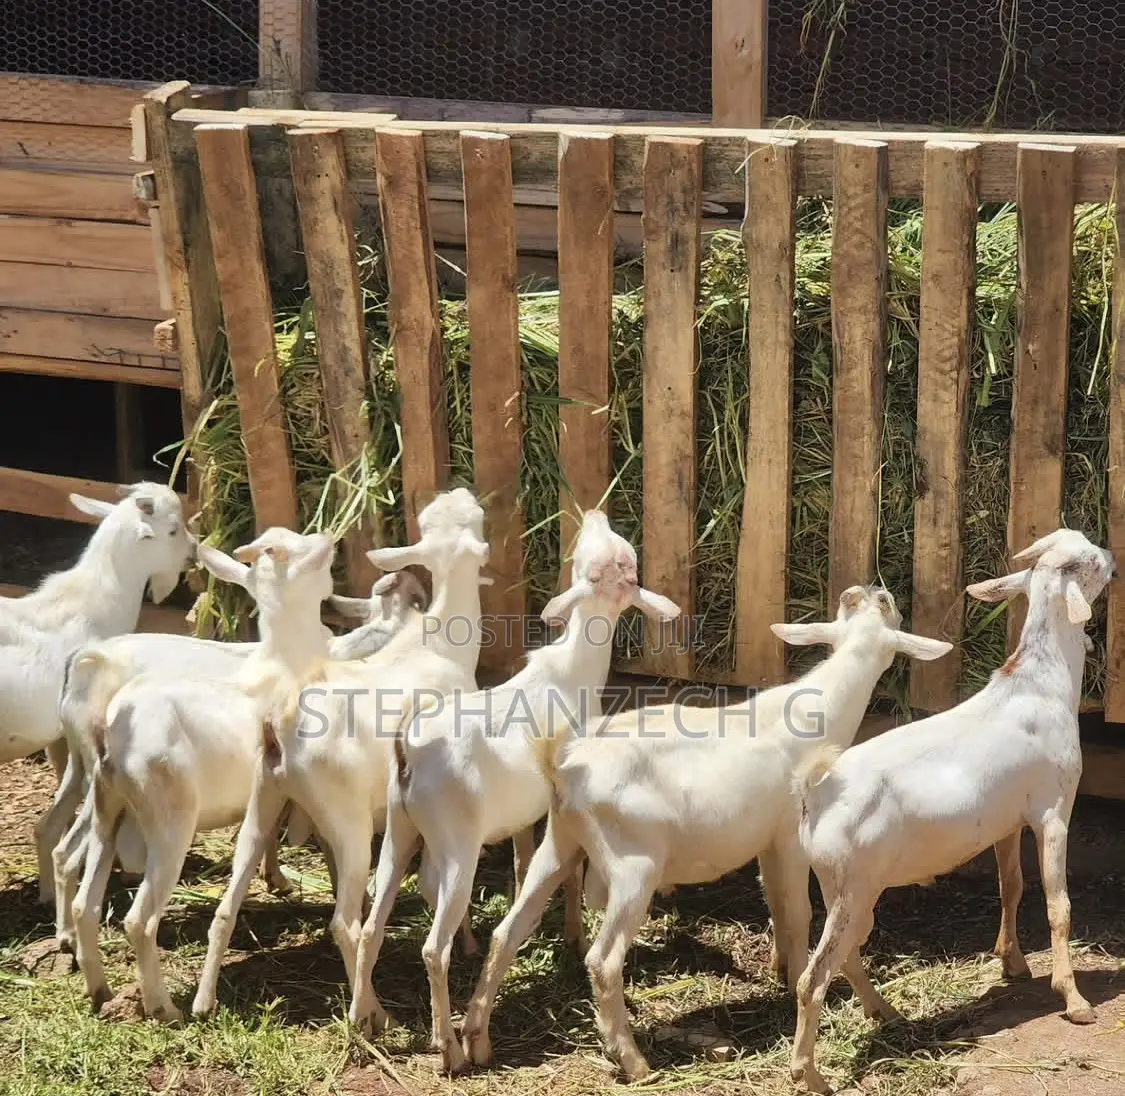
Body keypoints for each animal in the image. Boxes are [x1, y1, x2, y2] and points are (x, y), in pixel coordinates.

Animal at [346, 508, 683, 1072]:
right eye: (614, 557)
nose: (596, 512)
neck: (571, 674)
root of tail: (411, 750)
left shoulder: (531, 815)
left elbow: (529, 866)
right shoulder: (562, 804)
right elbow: (570, 875)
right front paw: (573, 934)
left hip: (399, 828)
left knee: (372, 925)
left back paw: (360, 1021)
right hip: (458, 845)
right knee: (432, 948)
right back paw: (448, 1048)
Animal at [455, 585, 952, 1080]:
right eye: (887, 606)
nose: (868, 589)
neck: (822, 710)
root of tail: (564, 766)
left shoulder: (765, 840)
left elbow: (775, 903)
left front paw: (780, 969)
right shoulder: (791, 835)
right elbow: (798, 912)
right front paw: (795, 977)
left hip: (560, 840)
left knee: (507, 933)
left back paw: (475, 1040)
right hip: (633, 863)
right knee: (602, 961)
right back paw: (634, 1062)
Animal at [787, 529, 1115, 1094]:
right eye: (1090, 561)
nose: (1114, 559)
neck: (1040, 684)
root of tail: (818, 790)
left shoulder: (1006, 820)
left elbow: (1011, 886)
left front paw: (1013, 963)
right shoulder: (1053, 809)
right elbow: (1059, 905)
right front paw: (1074, 1000)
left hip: (836, 884)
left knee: (846, 955)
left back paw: (886, 1013)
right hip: (856, 885)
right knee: (814, 978)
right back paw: (810, 1074)